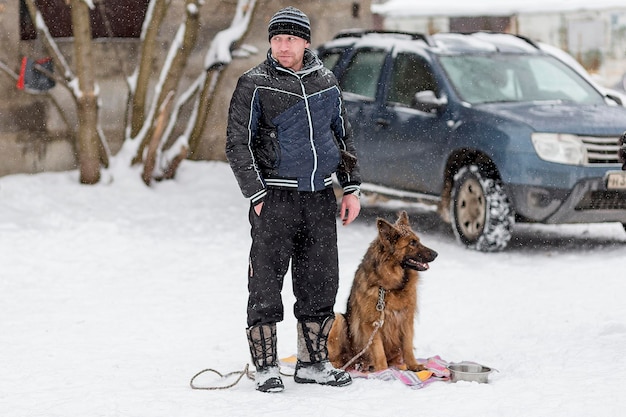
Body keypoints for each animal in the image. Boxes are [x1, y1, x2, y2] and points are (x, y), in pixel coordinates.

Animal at [330, 211, 436, 370]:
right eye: (412, 243)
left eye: (418, 241)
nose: (436, 254)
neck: (390, 287)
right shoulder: (371, 324)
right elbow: (379, 352)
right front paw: (383, 371)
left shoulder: (406, 319)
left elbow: (407, 346)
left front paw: (413, 365)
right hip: (339, 320)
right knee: (337, 358)